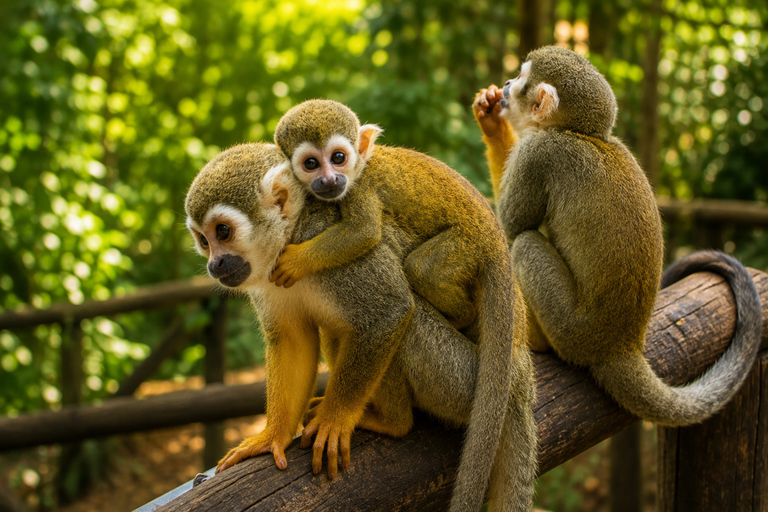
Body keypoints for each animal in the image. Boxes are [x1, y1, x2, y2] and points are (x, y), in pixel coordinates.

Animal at [185, 142, 537, 512]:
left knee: (406, 321)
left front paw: (335, 420)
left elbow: (389, 311)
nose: (215, 264)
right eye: (204, 240)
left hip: (462, 381)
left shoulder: (324, 238)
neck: (290, 236)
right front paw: (272, 436)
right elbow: (293, 340)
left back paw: (392, 421)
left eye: (223, 232)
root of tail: (519, 378)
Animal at [472, 45, 762, 426]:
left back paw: (535, 339)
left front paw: (494, 128)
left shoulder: (540, 153)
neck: (579, 133)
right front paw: (490, 116)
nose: (506, 84)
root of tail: (622, 344)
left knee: (525, 244)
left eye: (520, 77)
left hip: (573, 329)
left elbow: (511, 226)